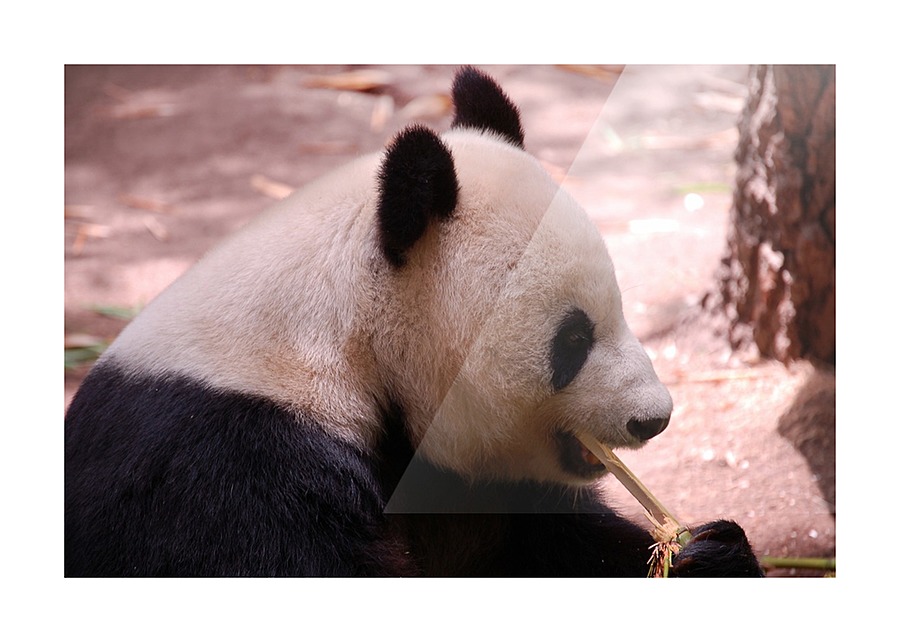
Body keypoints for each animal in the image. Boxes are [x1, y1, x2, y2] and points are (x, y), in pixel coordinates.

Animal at [65, 66, 763, 577]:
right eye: (572, 339)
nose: (654, 417)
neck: (345, 333)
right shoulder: (230, 469)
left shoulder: (459, 479)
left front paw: (708, 553)